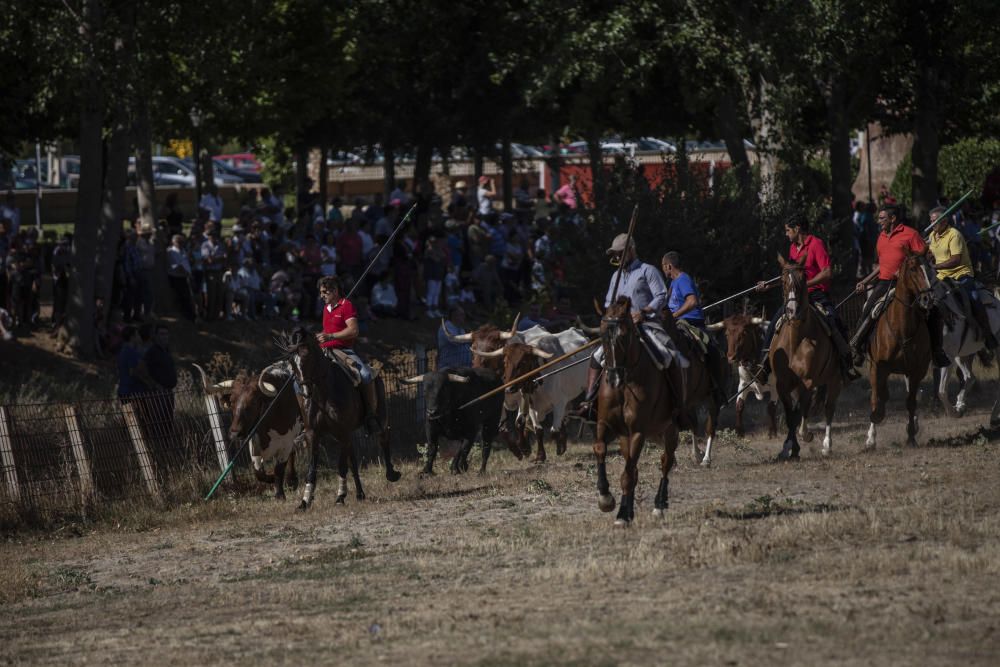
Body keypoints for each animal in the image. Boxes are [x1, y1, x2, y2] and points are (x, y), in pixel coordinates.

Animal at [193, 362, 302, 498]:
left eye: (254, 401)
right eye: (232, 401)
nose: (235, 433)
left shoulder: (286, 443)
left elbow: (279, 470)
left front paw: (279, 494)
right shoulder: (253, 444)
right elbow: (258, 472)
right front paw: (271, 478)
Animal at [592, 298, 720, 528]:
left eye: (624, 335)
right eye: (602, 334)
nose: (614, 379)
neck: (627, 382)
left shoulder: (638, 432)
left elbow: (627, 475)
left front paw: (621, 515)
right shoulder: (606, 425)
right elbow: (601, 449)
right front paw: (606, 498)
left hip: (671, 428)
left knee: (666, 462)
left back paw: (659, 505)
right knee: (636, 468)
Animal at [764, 253, 844, 462]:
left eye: (803, 279)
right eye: (783, 281)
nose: (792, 311)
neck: (795, 339)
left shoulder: (807, 381)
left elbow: (799, 412)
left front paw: (803, 437)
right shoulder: (783, 384)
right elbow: (791, 415)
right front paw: (789, 448)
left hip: (834, 379)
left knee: (829, 408)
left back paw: (826, 446)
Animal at [864, 254, 932, 448]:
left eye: (929, 267)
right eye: (913, 269)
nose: (927, 298)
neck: (902, 328)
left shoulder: (916, 370)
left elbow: (911, 402)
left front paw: (911, 437)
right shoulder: (879, 367)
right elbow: (877, 397)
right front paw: (872, 433)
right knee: (877, 394)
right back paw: (871, 437)